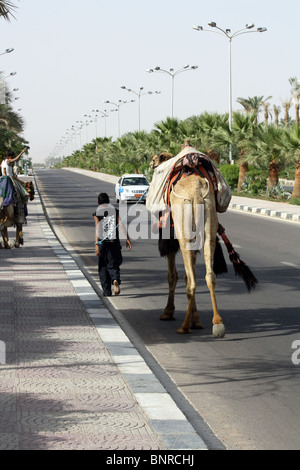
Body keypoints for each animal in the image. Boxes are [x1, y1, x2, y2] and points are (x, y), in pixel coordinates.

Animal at [150, 149, 258, 336]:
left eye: (155, 161)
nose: (150, 164)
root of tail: (196, 193)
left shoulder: (170, 241)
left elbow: (173, 275)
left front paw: (168, 312)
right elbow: (187, 274)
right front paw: (197, 319)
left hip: (184, 230)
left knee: (192, 282)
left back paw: (185, 326)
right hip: (208, 222)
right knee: (209, 275)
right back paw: (217, 323)